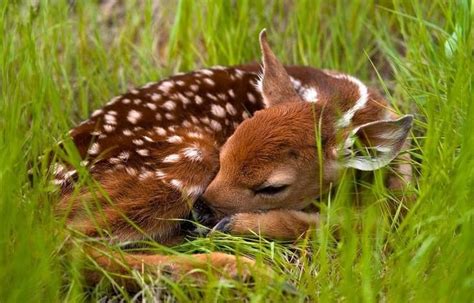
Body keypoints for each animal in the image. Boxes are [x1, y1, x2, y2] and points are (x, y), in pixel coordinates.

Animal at [54, 29, 412, 288]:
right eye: (224, 153)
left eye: (272, 187)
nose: (199, 211)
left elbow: (365, 221)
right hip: (180, 163)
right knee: (63, 245)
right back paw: (247, 272)